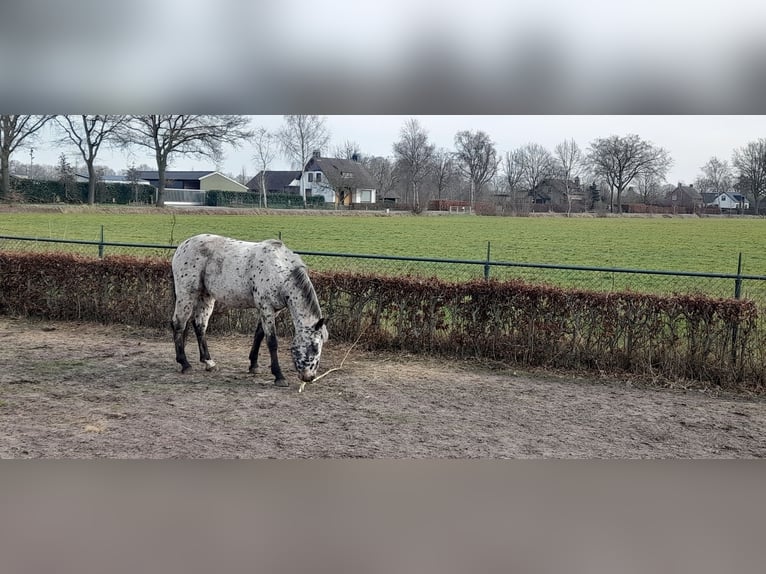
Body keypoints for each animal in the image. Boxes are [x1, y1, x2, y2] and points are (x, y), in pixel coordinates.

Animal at [170, 236, 328, 390]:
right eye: (314, 347)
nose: (309, 377)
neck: (280, 270)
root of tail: (182, 246)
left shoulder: (273, 310)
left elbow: (259, 335)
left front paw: (254, 365)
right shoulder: (266, 307)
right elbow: (272, 342)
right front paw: (279, 376)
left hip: (206, 296)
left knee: (200, 326)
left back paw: (208, 362)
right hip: (186, 295)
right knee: (178, 324)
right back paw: (185, 364)